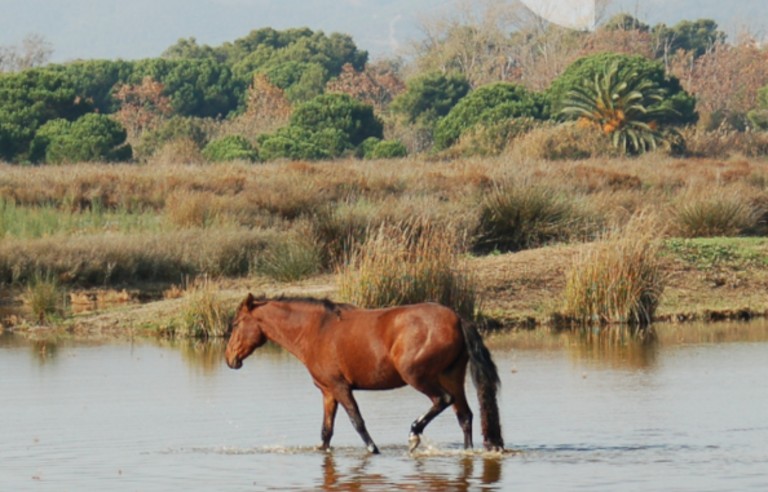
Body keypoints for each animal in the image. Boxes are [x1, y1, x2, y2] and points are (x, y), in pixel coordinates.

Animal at [225, 292, 508, 454]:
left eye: (236, 323)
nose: (229, 359)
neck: (316, 330)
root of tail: (458, 318)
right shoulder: (328, 392)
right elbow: (326, 431)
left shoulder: (340, 388)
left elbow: (357, 420)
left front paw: (373, 449)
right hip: (451, 376)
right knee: (465, 415)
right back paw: (467, 450)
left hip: (418, 376)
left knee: (443, 401)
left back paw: (414, 434)